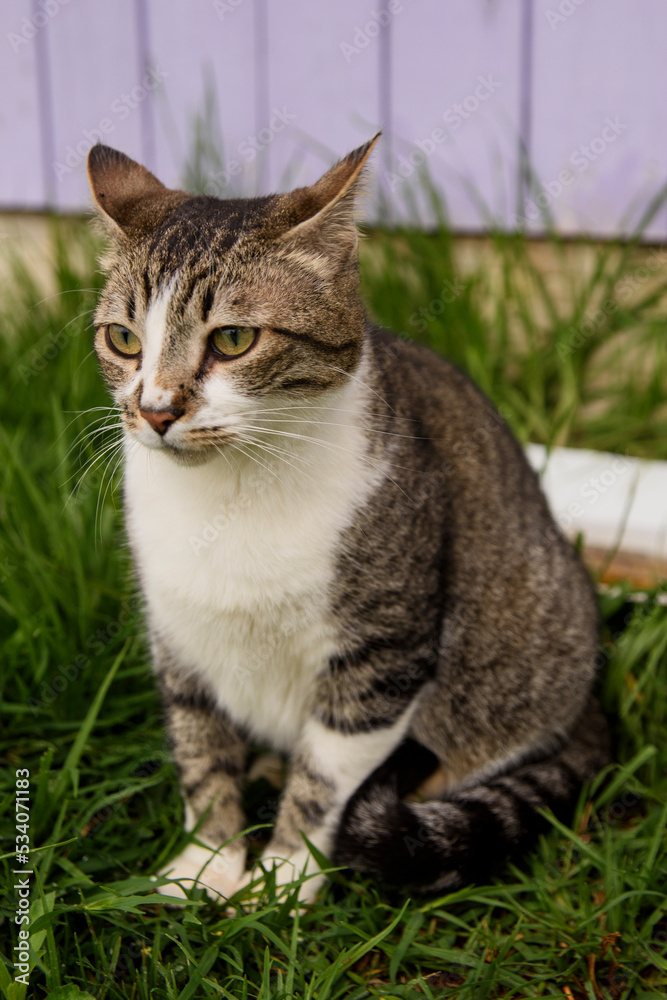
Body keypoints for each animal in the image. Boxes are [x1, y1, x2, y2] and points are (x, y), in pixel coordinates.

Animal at [86, 135, 612, 908]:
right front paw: (207, 864)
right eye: (123, 339)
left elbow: (326, 773)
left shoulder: (382, 649)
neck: (228, 496)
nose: (153, 410)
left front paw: (281, 880)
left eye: (234, 339)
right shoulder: (177, 632)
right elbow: (199, 745)